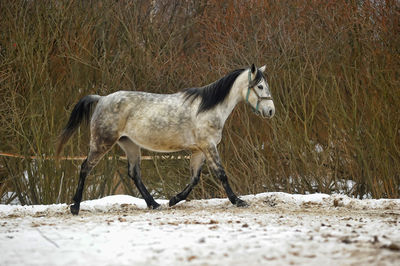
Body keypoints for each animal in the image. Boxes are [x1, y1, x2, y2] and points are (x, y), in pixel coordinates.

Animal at [57, 64, 276, 214]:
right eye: (260, 86)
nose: (271, 111)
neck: (208, 108)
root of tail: (101, 99)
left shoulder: (199, 150)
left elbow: (194, 178)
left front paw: (173, 200)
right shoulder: (209, 146)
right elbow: (221, 174)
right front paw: (238, 201)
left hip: (130, 145)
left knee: (134, 173)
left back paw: (154, 204)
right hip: (102, 142)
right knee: (85, 167)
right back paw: (75, 207)